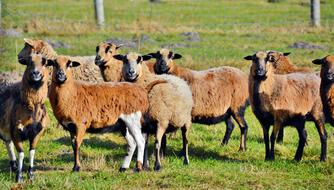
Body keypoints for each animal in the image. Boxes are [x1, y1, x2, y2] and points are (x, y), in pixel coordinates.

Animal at [0, 53, 50, 183]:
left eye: (43, 62)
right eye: (28, 62)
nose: (35, 73)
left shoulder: (37, 132)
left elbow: (32, 152)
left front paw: (31, 175)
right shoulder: (16, 131)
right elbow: (21, 154)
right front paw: (19, 177)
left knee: (7, 143)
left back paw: (13, 166)